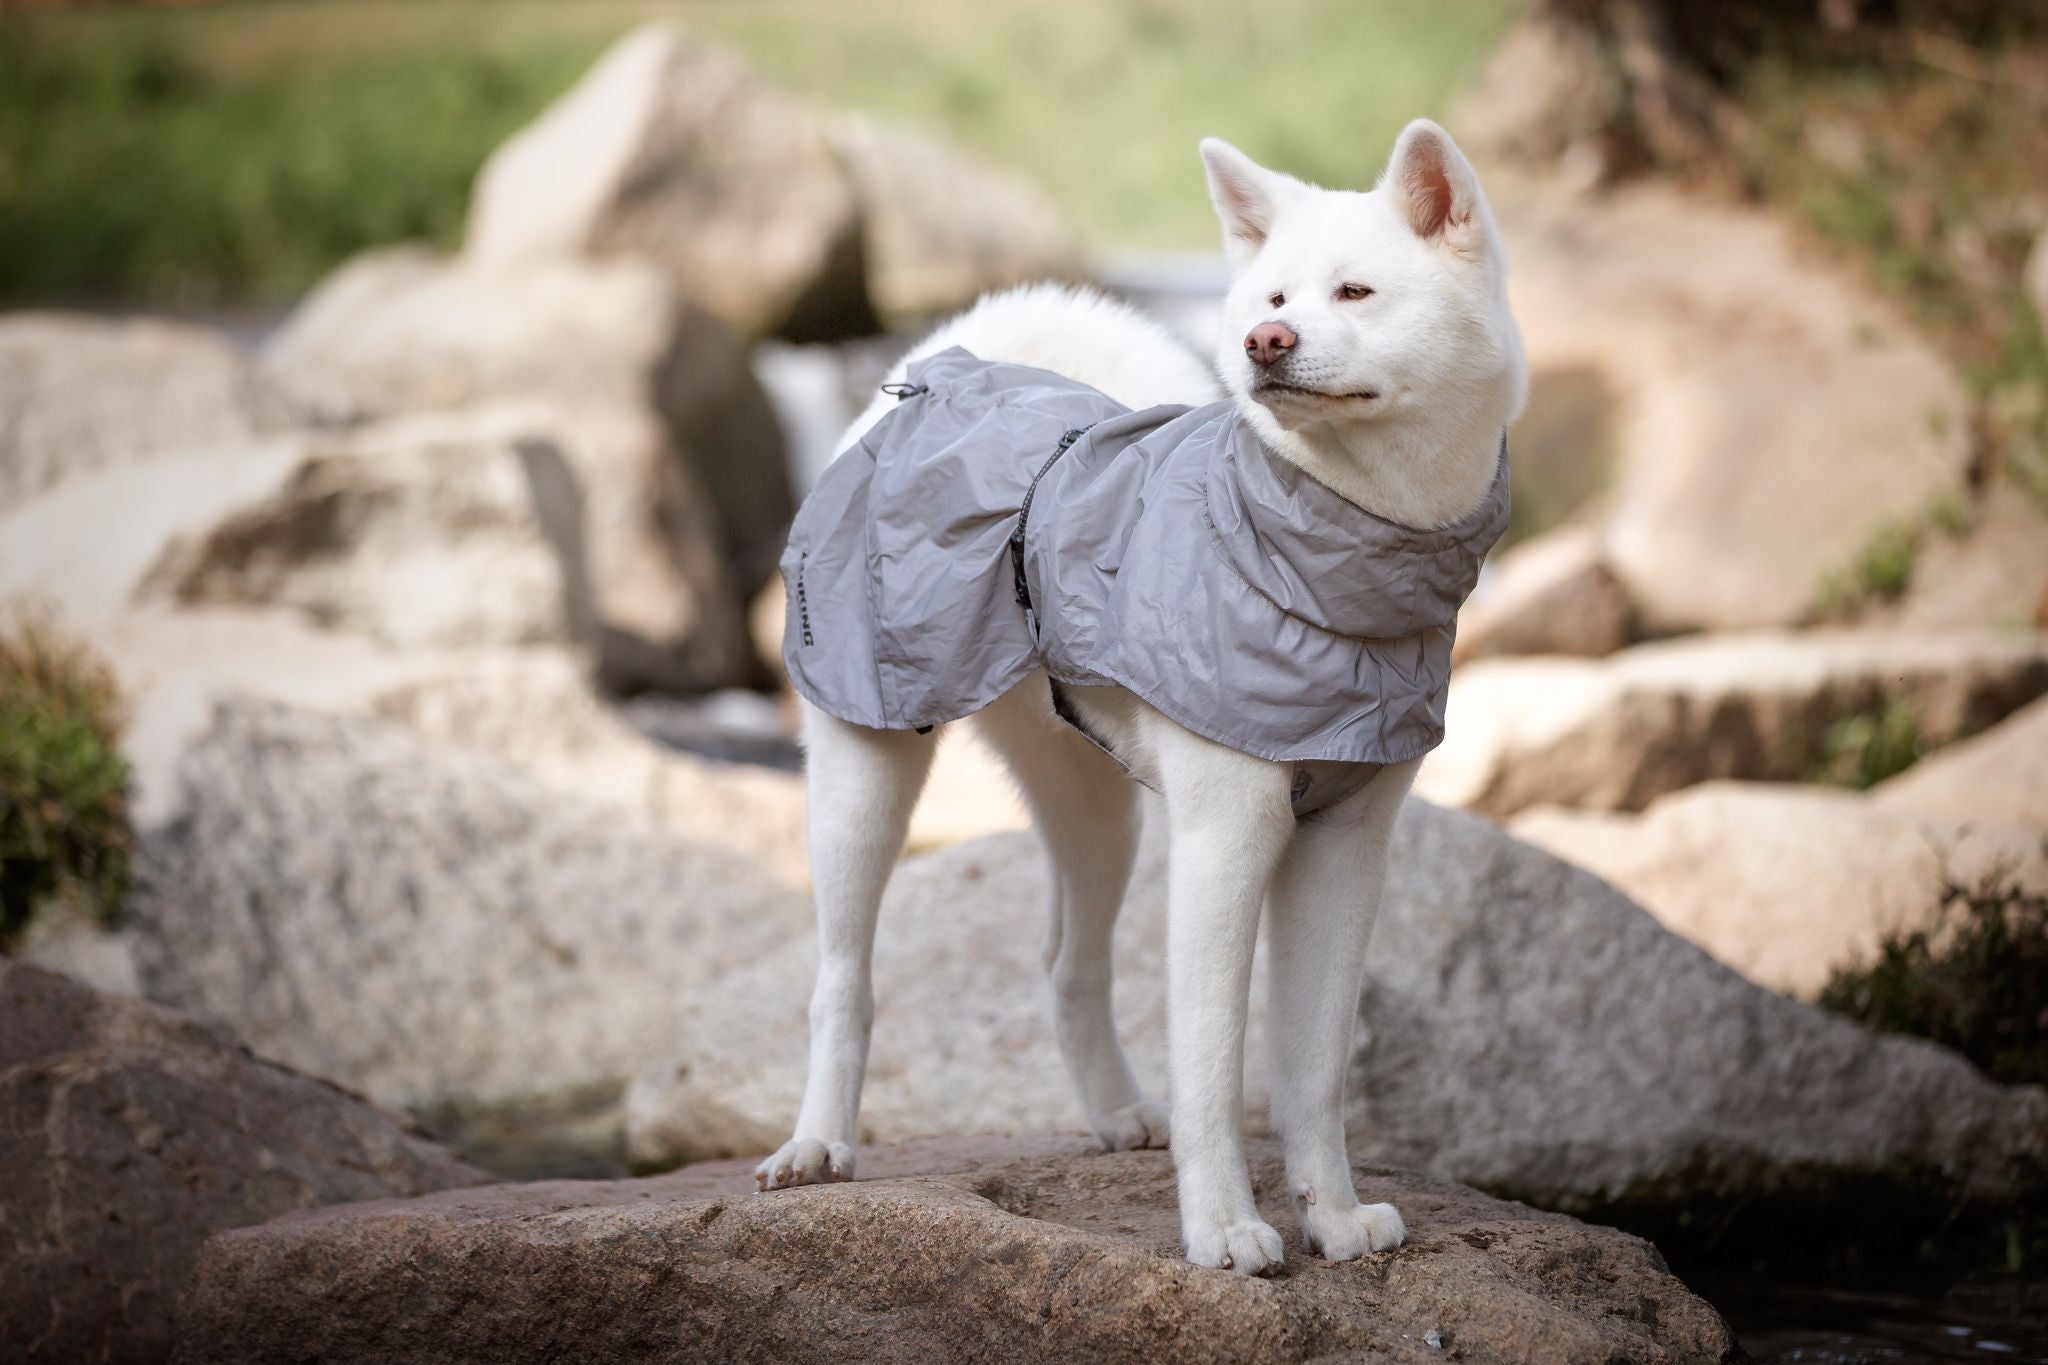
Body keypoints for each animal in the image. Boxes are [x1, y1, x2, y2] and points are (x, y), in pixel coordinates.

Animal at [753, 122, 1523, 1277]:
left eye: (1354, 291)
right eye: (1275, 296)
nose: (1261, 341)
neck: (1324, 563)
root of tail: (940, 368)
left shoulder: (1345, 846)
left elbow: (1312, 1069)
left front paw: (1335, 1220)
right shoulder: (1226, 836)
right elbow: (1214, 1066)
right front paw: (1225, 1233)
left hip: (1093, 803)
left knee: (1067, 964)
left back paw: (1116, 1111)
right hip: (862, 768)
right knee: (841, 976)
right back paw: (816, 1146)